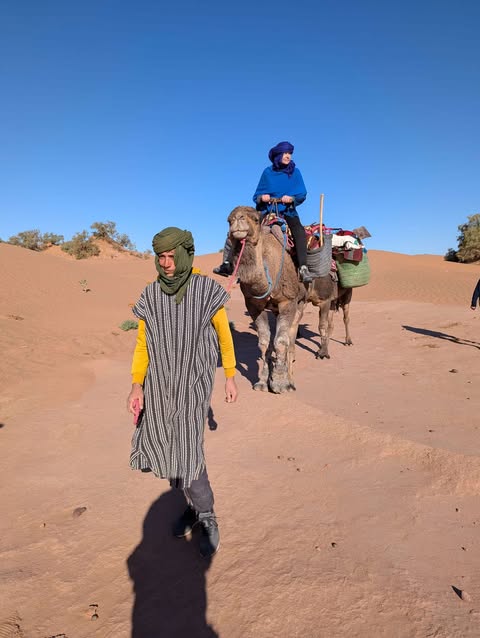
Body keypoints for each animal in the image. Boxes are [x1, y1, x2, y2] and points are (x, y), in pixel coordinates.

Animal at [227, 206, 306, 393]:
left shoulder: (287, 301)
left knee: (291, 339)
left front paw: (280, 383)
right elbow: (264, 342)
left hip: (300, 303)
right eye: (228, 220)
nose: (237, 219)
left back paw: (291, 381)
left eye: (256, 219)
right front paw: (263, 382)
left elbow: (281, 341)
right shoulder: (254, 305)